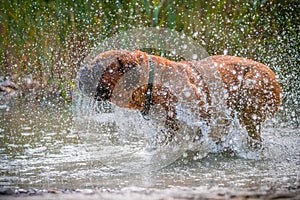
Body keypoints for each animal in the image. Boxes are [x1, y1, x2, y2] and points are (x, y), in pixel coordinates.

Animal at [78, 49, 282, 145]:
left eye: (98, 67)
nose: (80, 70)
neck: (153, 86)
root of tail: (272, 73)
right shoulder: (166, 129)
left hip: (250, 98)